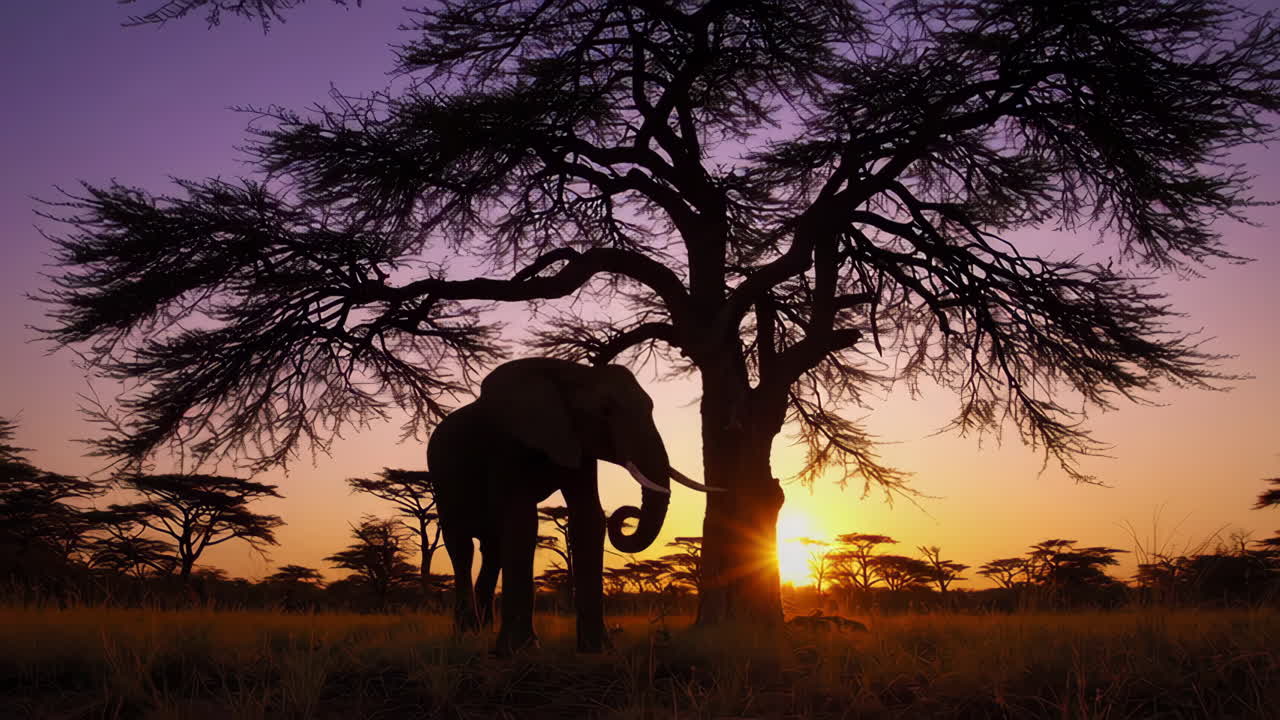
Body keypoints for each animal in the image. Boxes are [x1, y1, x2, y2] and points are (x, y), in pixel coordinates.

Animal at [427, 357, 715, 653]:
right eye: (605, 411)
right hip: (442, 479)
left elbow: (588, 516)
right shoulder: (508, 443)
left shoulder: (580, 444)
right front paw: (520, 650)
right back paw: (466, 634)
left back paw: (481, 632)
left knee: (492, 548)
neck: (570, 375)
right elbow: (521, 518)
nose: (630, 513)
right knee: (461, 545)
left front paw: (597, 649)